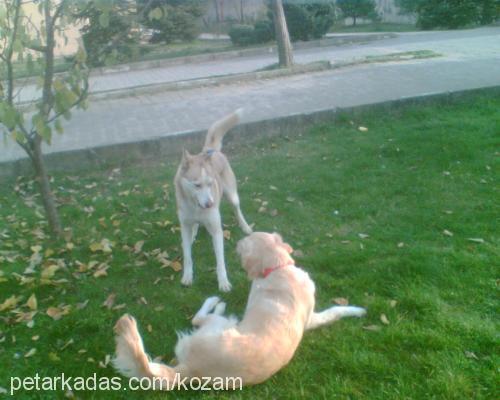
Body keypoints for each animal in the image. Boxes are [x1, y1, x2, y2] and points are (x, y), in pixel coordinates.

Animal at [176, 108, 254, 290]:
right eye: (197, 185)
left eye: (211, 183)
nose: (210, 204)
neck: (195, 207)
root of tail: (210, 150)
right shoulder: (184, 225)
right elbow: (187, 255)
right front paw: (187, 276)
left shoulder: (217, 230)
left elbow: (220, 261)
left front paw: (223, 282)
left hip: (232, 196)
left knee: (237, 209)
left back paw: (245, 226)